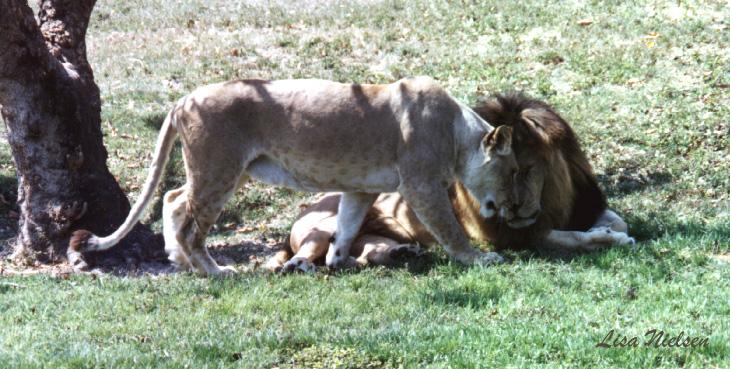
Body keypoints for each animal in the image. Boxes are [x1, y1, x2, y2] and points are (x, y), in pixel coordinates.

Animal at [69, 76, 516, 274]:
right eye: (513, 170)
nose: (514, 211)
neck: (457, 132)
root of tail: (184, 99)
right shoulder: (421, 186)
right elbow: (450, 229)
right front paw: (480, 258)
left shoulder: (360, 190)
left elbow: (347, 227)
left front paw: (337, 260)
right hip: (219, 169)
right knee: (191, 222)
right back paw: (213, 271)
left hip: (227, 169)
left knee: (173, 199)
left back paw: (176, 257)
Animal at [266, 92, 632, 270]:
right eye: (506, 172)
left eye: (526, 169)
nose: (512, 209)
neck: (553, 194)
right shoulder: (509, 236)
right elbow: (569, 239)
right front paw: (606, 239)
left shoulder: (584, 204)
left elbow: (617, 221)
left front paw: (610, 230)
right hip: (323, 226)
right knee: (311, 251)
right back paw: (298, 266)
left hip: (373, 233)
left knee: (365, 253)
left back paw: (402, 255)